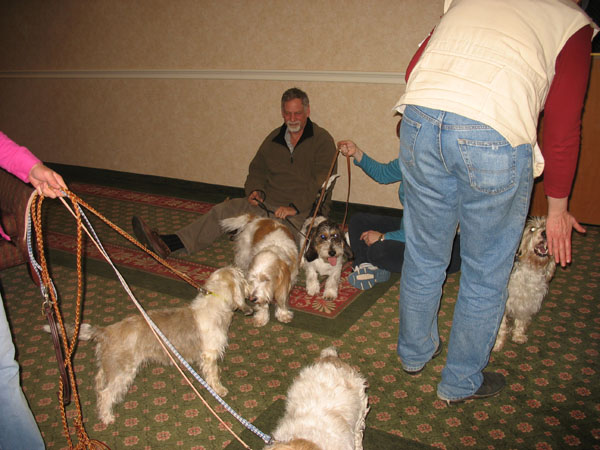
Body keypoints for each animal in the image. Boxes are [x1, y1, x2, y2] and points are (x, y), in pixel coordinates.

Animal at [44, 266, 251, 424]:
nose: (251, 286)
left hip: (110, 366)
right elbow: (213, 375)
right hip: (123, 372)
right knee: (106, 394)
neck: (216, 304)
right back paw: (107, 418)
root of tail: (105, 331)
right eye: (243, 278)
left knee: (99, 381)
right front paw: (219, 390)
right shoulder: (209, 355)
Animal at [493, 216, 557, 351]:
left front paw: (518, 336)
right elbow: (500, 327)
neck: (530, 271)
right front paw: (496, 344)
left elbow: (521, 320)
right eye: (532, 229)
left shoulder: (528, 303)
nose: (544, 233)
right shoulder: (504, 303)